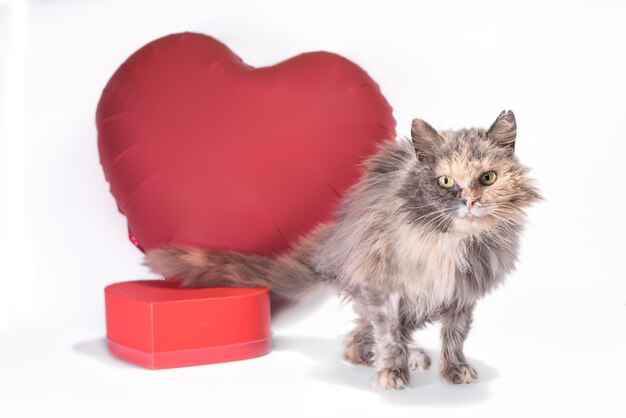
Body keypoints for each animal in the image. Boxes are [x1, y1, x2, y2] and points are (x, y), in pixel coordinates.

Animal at [144, 110, 540, 388]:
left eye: (487, 178)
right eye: (444, 181)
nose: (469, 201)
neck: (448, 239)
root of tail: (333, 242)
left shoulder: (461, 294)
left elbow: (455, 336)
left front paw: (455, 370)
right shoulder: (383, 288)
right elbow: (387, 337)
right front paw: (392, 373)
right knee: (358, 341)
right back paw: (394, 358)